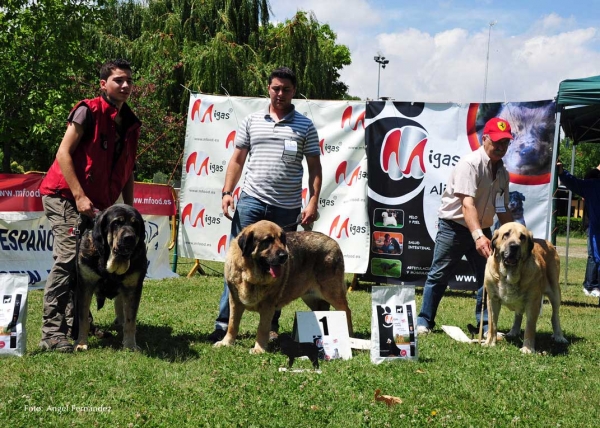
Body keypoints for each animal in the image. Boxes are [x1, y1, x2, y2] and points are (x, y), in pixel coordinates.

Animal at [216, 219, 354, 352]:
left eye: (282, 239)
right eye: (267, 240)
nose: (284, 255)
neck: (249, 273)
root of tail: (333, 242)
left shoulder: (268, 305)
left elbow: (262, 328)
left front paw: (259, 349)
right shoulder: (235, 301)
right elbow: (232, 324)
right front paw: (226, 342)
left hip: (331, 292)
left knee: (346, 311)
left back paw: (350, 337)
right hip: (311, 297)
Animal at [482, 222, 568, 352]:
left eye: (522, 237)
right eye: (506, 234)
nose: (514, 246)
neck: (509, 275)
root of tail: (548, 243)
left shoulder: (532, 302)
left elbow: (530, 327)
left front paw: (527, 349)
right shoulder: (493, 300)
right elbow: (492, 323)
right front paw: (490, 342)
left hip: (555, 291)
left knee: (555, 316)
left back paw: (559, 337)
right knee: (518, 314)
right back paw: (513, 331)